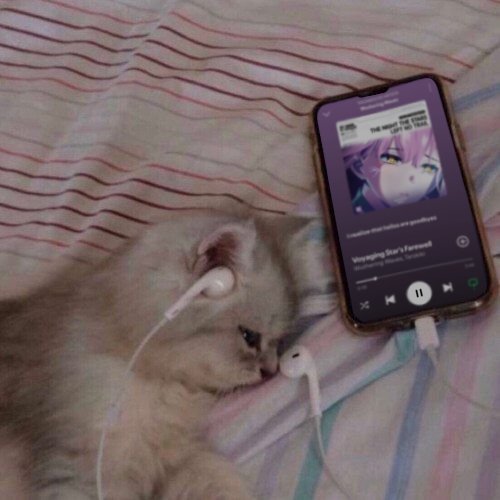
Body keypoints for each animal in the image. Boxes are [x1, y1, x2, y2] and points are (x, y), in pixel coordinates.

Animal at [0, 210, 309, 499]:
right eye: (249, 337)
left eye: (279, 342)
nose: (271, 370)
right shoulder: (88, 466)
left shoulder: (175, 457)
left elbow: (220, 477)